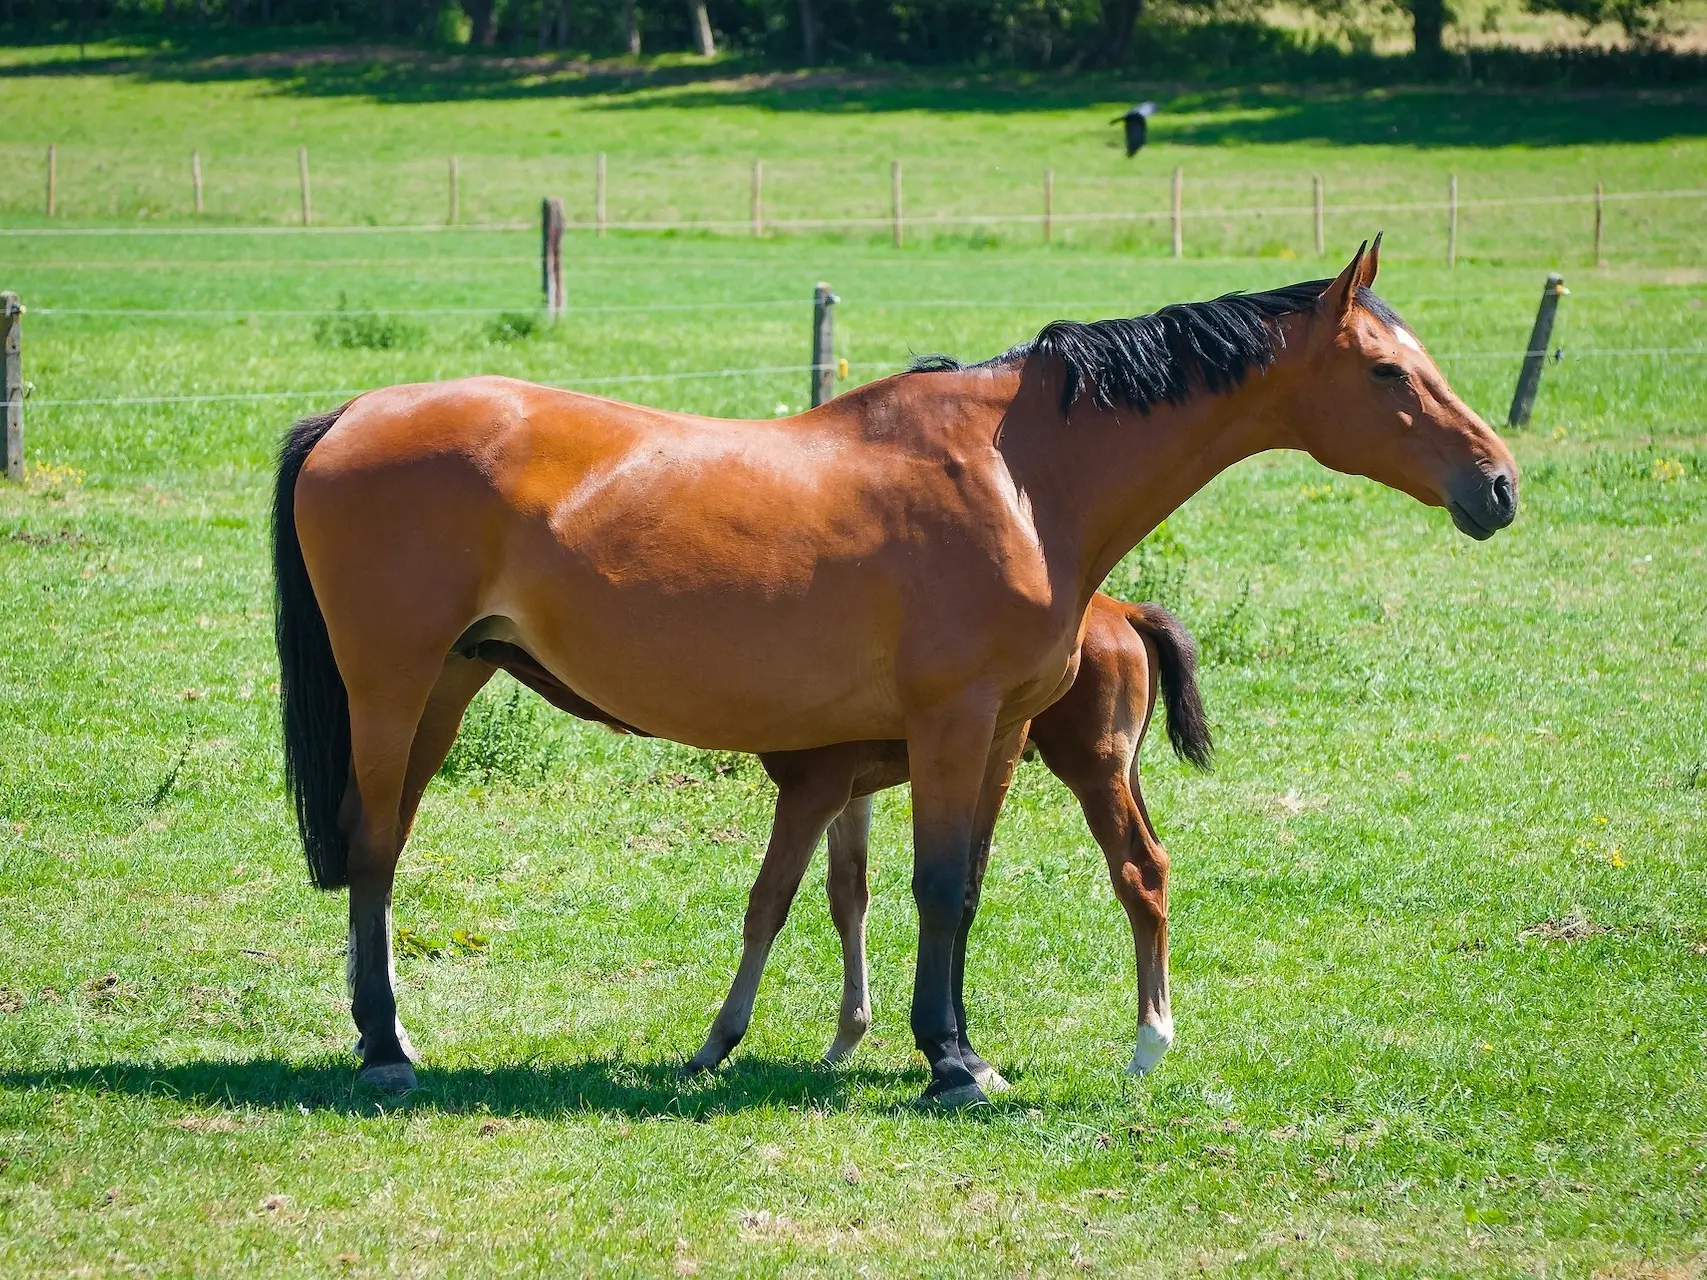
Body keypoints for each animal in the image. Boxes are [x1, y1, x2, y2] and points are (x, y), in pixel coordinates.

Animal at [276, 240, 1522, 1105]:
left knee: (384, 847)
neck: (1021, 477)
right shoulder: (950, 726)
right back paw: (385, 1049)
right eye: (1387, 372)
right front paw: (950, 1061)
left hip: (446, 687)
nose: (1500, 482)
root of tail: (348, 415)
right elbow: (928, 886)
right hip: (394, 689)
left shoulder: (1002, 734)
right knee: (376, 849)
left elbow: (958, 889)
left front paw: (958, 1045)